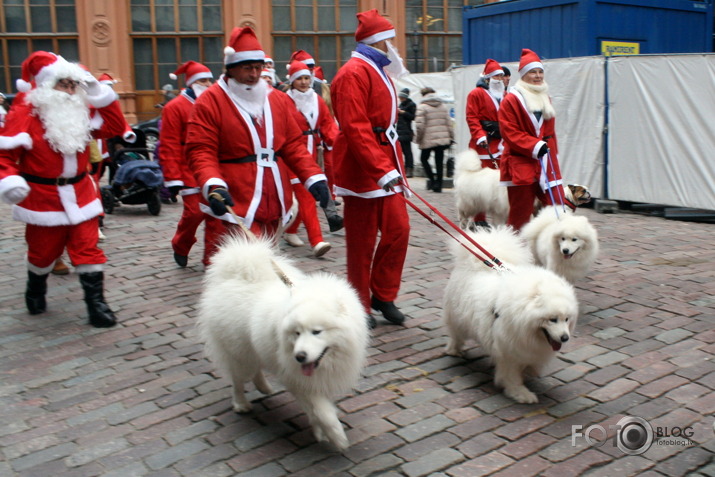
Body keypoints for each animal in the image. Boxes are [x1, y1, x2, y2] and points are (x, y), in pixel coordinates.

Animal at [199, 234, 372, 450]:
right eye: (297, 333)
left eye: (317, 332)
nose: (299, 356)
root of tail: (233, 276)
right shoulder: (298, 379)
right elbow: (322, 411)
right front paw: (337, 437)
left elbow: (317, 411)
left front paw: (320, 433)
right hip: (238, 352)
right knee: (238, 379)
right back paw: (241, 404)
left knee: (255, 368)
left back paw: (264, 387)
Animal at [442, 226, 580, 402]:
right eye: (552, 319)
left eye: (567, 319)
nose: (565, 338)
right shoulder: (508, 350)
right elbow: (511, 376)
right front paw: (521, 394)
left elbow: (533, 362)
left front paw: (531, 370)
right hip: (457, 318)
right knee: (456, 335)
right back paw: (454, 350)